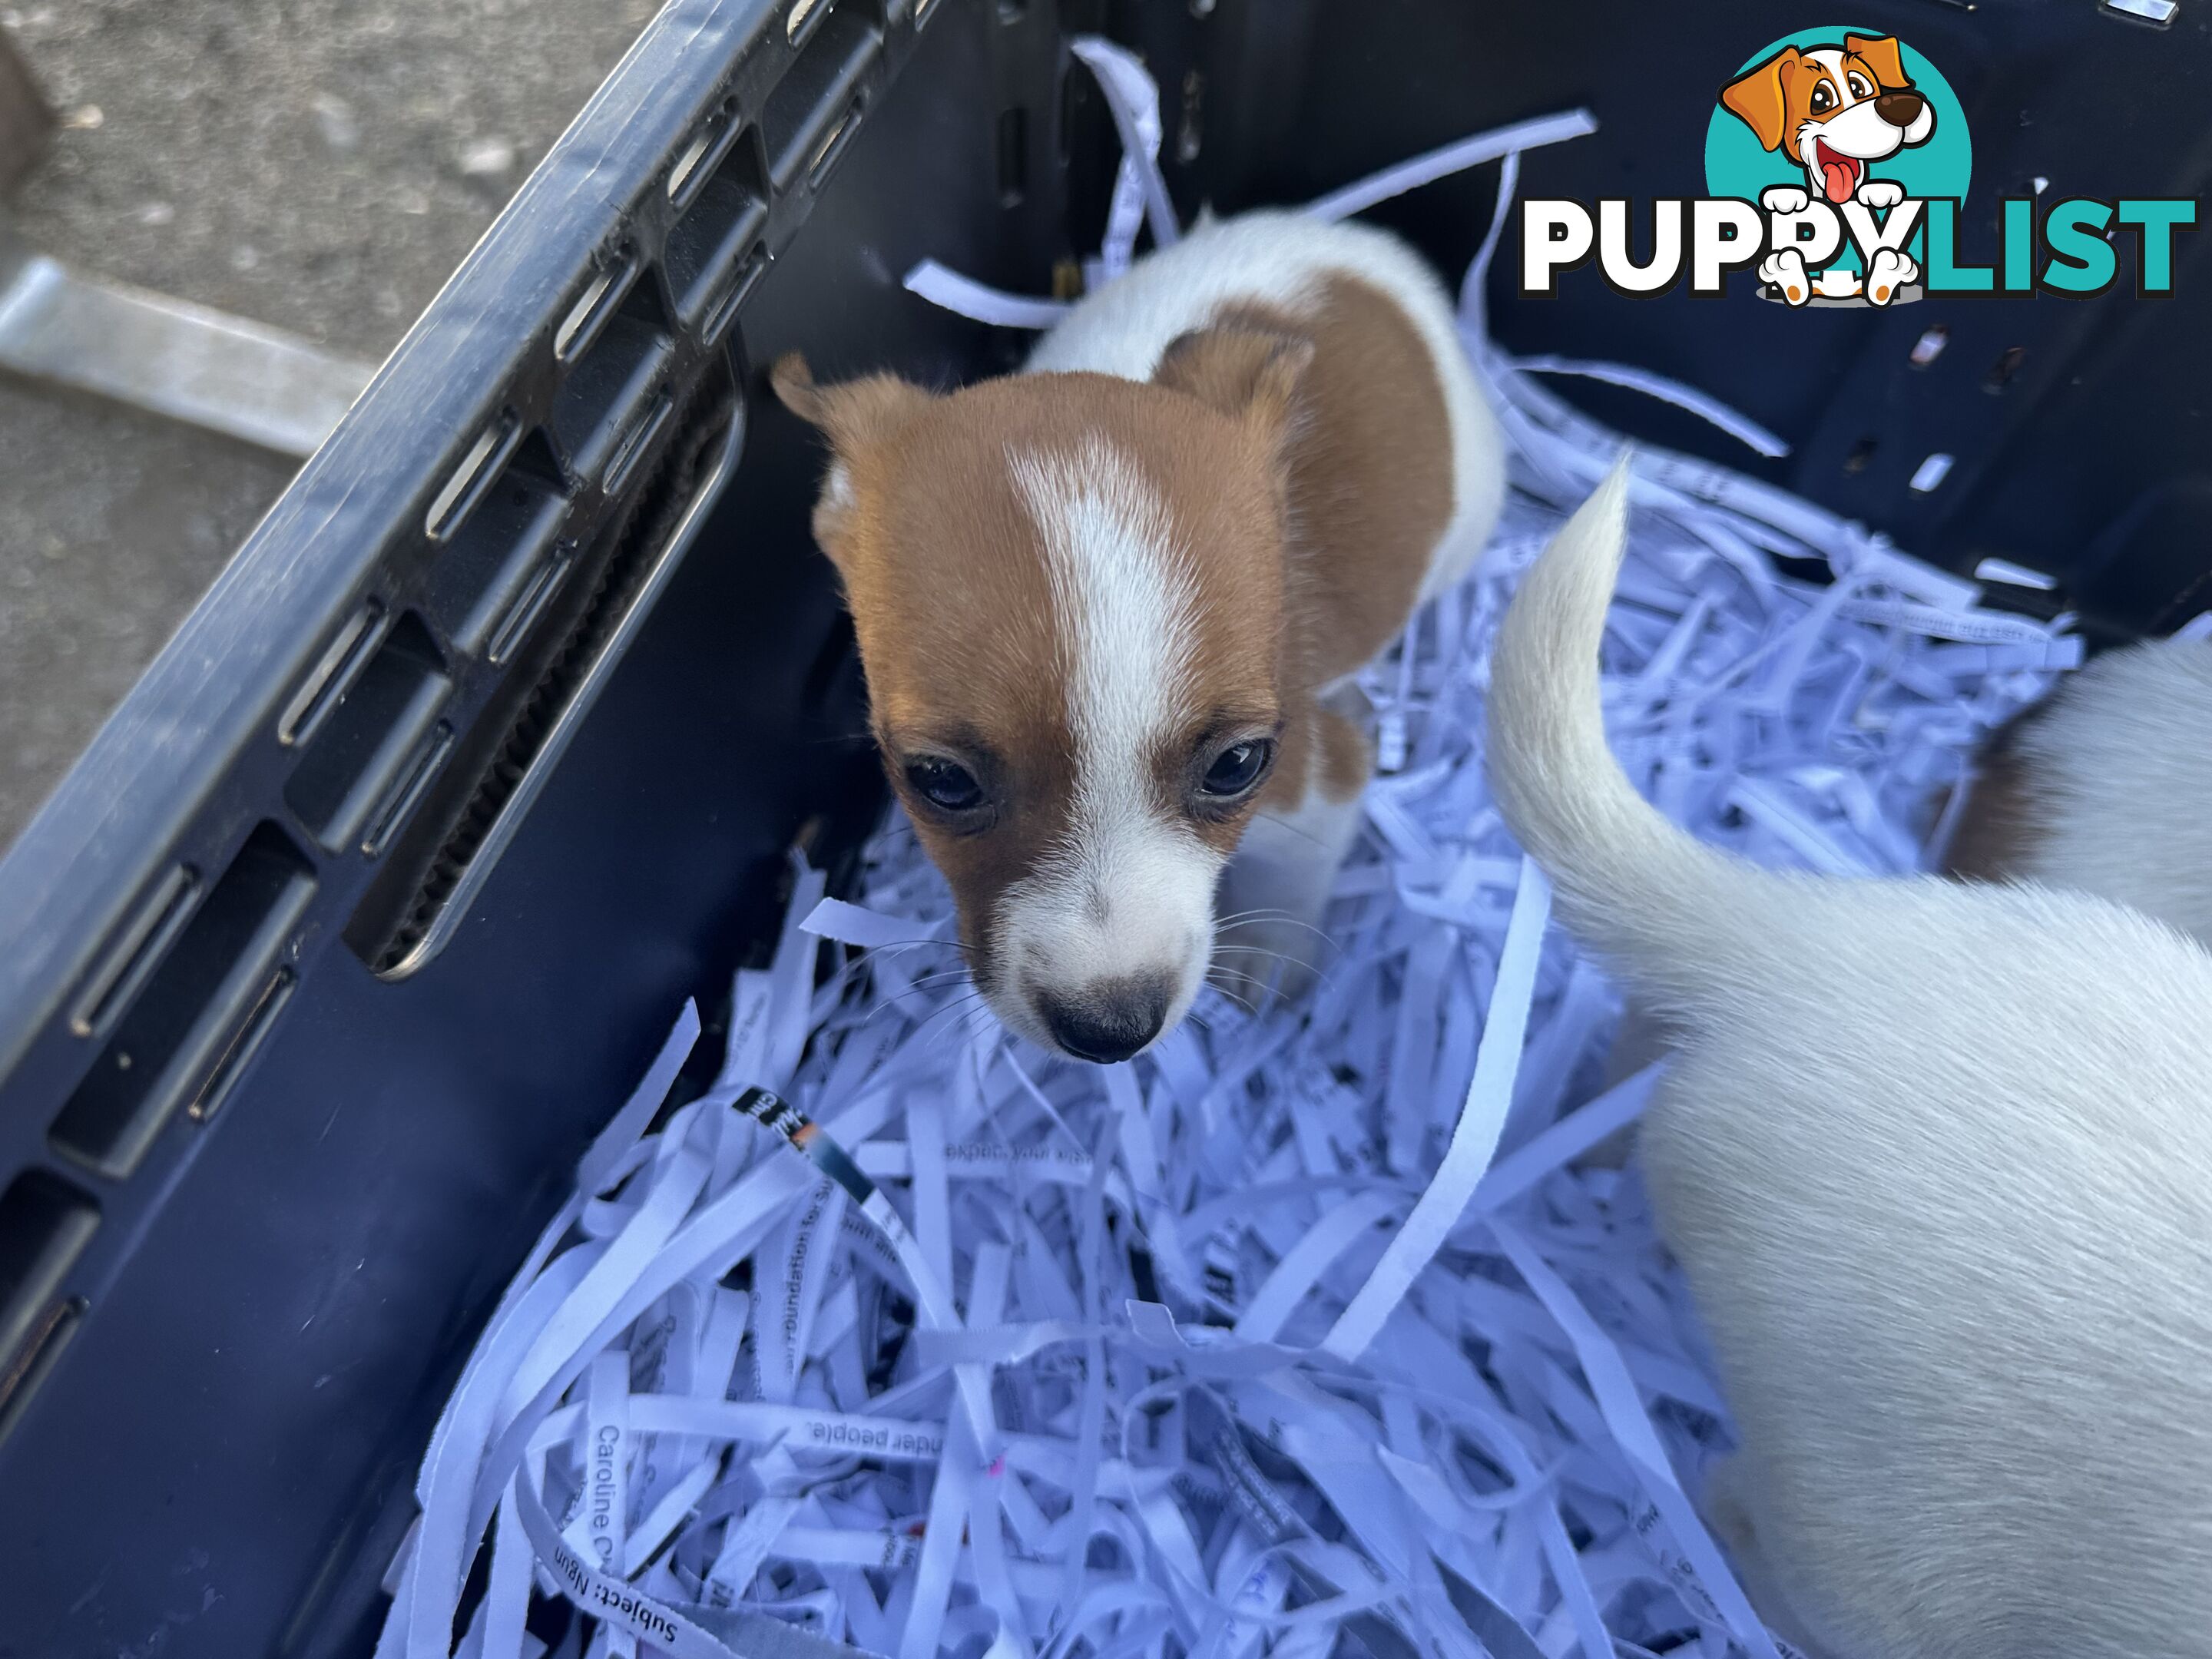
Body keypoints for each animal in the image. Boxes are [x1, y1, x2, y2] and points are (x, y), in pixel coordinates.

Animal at [774, 211, 1504, 1066]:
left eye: (1238, 766)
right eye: (940, 781)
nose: (1111, 1031)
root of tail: (1368, 244)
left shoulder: (1320, 776)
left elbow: (1294, 878)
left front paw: (1268, 965)